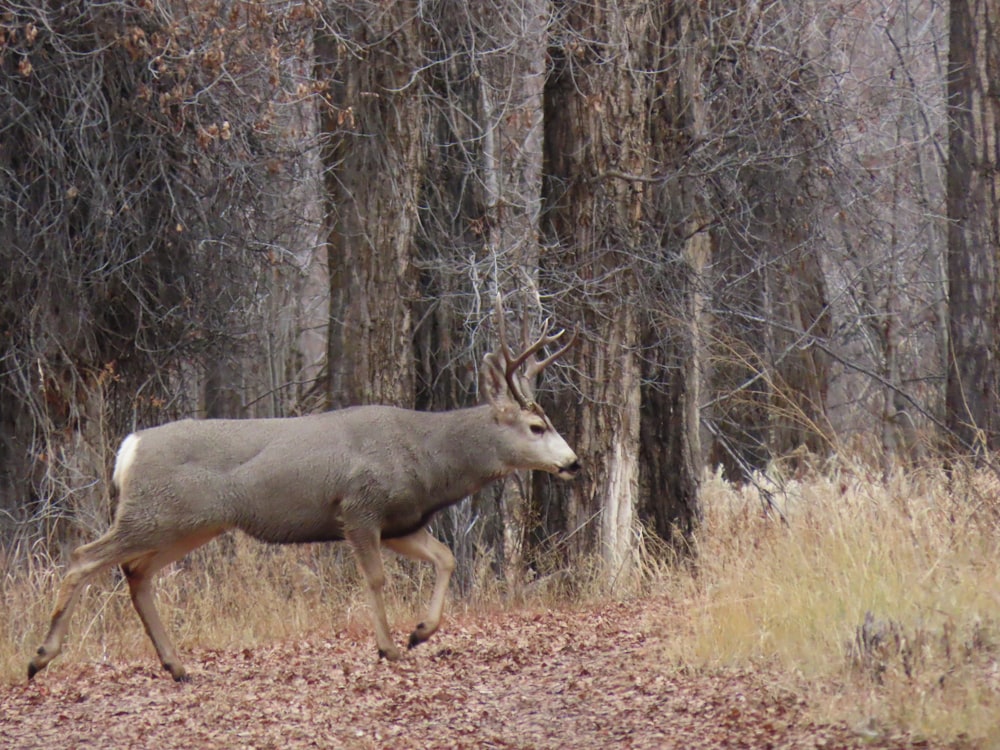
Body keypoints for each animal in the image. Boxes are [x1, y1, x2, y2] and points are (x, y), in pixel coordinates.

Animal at [29, 296, 580, 684]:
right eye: (536, 426)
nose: (572, 463)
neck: (426, 458)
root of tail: (130, 448)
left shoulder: (401, 522)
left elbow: (444, 557)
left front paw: (420, 633)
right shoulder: (359, 507)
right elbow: (376, 579)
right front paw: (390, 646)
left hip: (188, 524)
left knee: (135, 573)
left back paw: (178, 667)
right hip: (154, 514)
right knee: (83, 558)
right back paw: (41, 657)